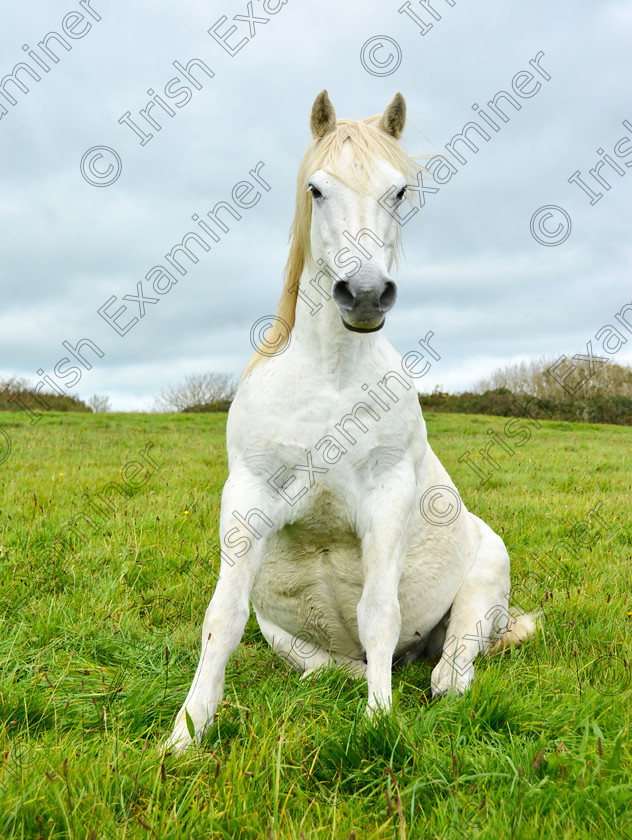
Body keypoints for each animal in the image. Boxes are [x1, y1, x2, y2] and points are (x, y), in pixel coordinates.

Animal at [164, 92, 532, 756]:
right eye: (316, 189)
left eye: (400, 191)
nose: (362, 294)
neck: (329, 378)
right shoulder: (248, 498)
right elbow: (221, 619)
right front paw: (186, 733)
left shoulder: (387, 498)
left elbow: (378, 614)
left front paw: (380, 722)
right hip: (287, 637)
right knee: (328, 669)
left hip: (480, 589)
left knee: (449, 669)